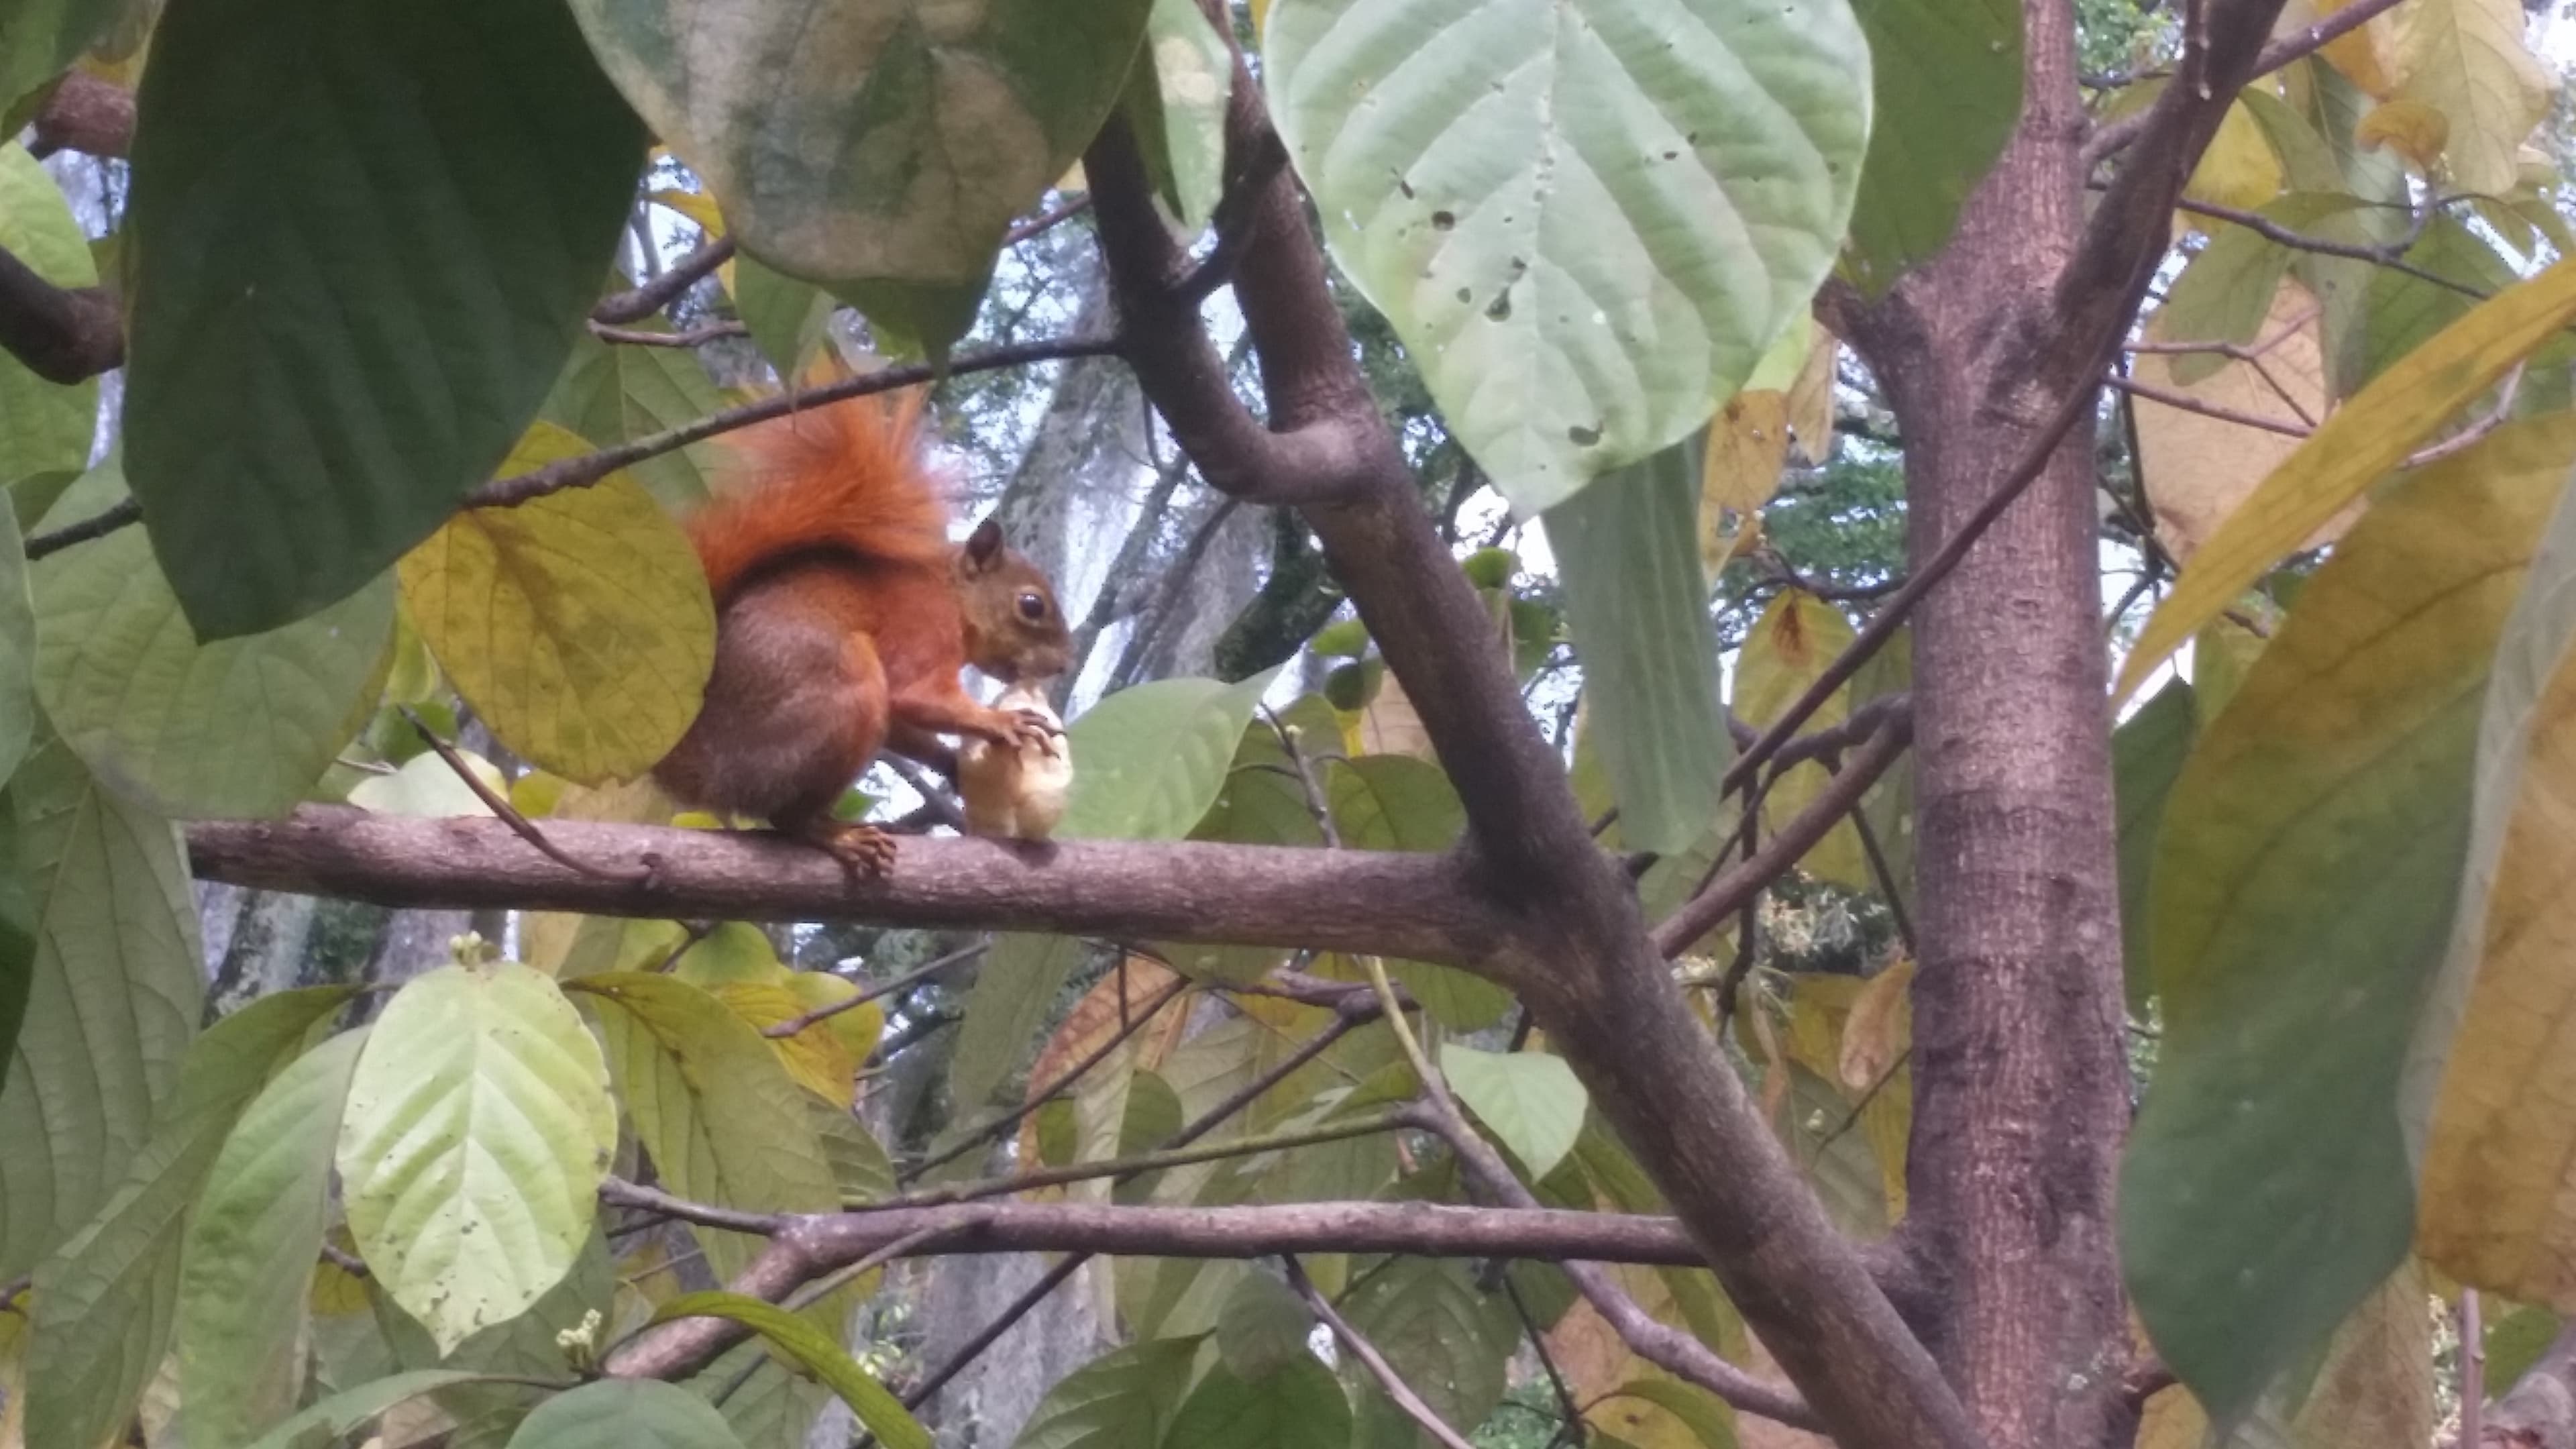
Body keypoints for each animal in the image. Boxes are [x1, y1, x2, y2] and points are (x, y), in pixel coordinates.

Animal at [651, 390, 1072, 873]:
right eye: (1032, 605)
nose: (1065, 665)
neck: (951, 595)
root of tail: (703, 767)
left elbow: (903, 723)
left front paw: (950, 762)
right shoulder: (924, 632)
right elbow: (918, 696)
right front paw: (1000, 721)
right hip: (842, 698)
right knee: (785, 816)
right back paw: (837, 835)